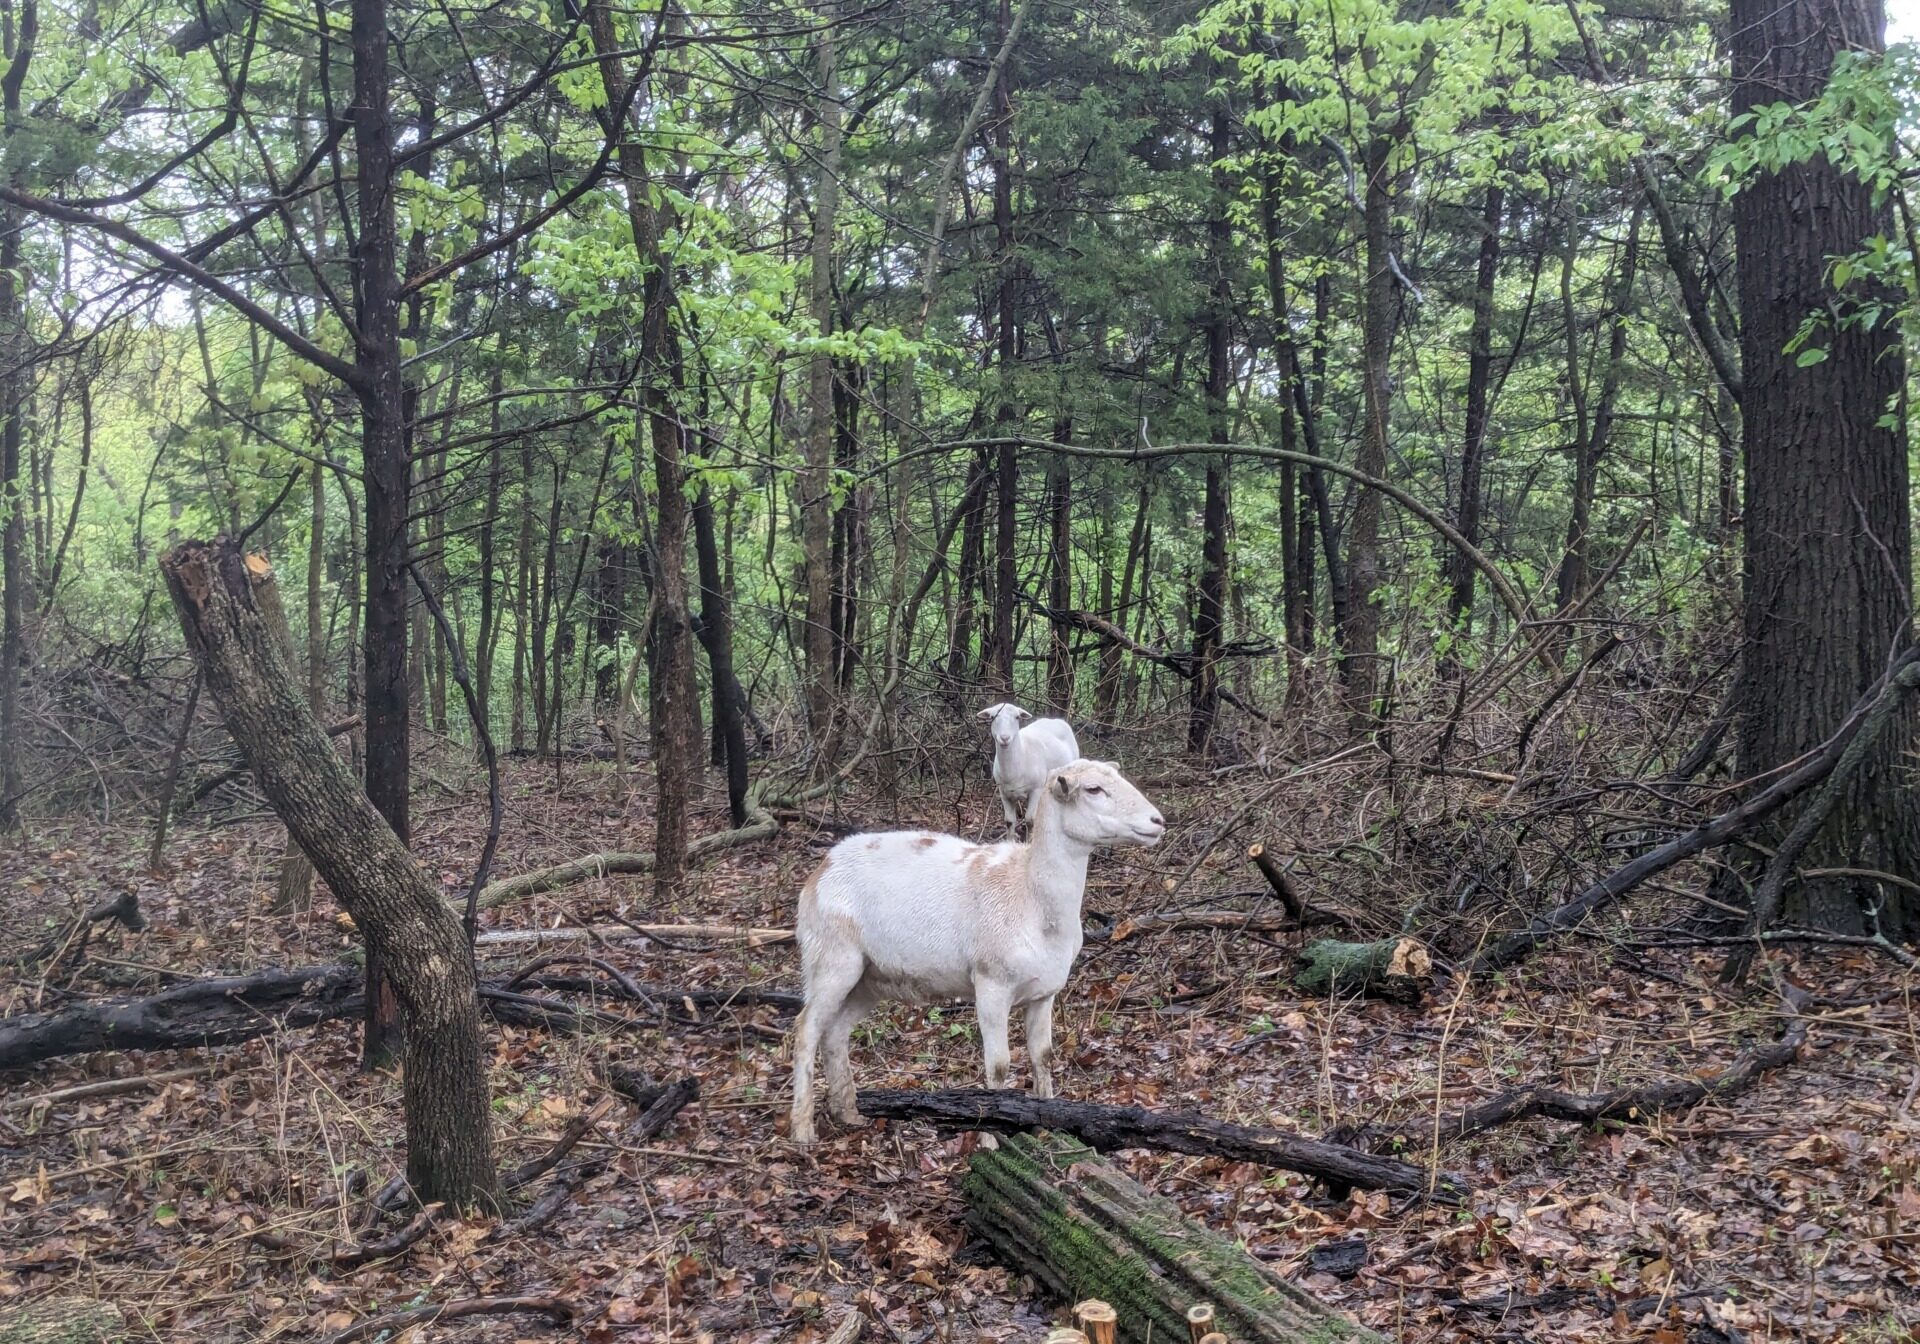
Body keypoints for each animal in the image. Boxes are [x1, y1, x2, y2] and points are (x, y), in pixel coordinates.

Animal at [788, 759, 1164, 1144]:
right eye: (1092, 789)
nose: (1157, 821)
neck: (1031, 894)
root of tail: (822, 869)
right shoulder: (991, 984)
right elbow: (998, 1065)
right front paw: (990, 1137)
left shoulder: (1044, 992)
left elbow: (1042, 1056)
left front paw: (1048, 1128)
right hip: (831, 958)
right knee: (805, 1030)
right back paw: (802, 1128)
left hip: (870, 978)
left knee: (834, 1032)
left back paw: (848, 1113)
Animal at [978, 701, 1080, 830]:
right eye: (992, 717)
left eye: (1017, 717)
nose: (1005, 738)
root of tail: (1057, 720)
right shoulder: (1004, 792)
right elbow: (1009, 821)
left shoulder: (1036, 789)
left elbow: (1030, 820)